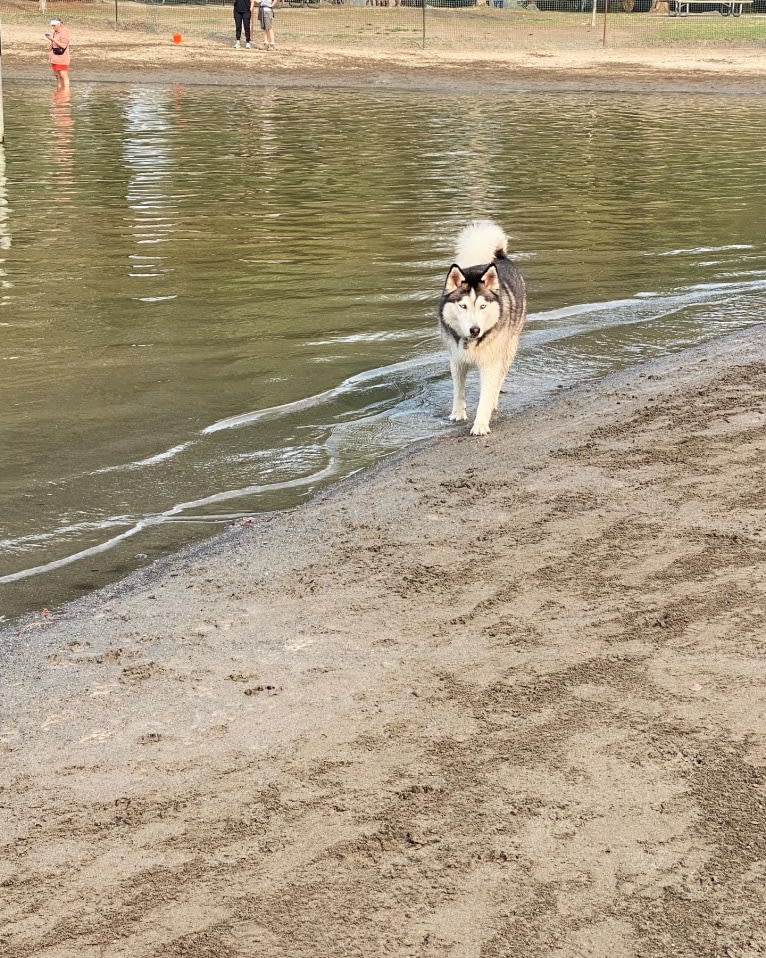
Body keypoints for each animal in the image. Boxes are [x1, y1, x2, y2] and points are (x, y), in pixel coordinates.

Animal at [438, 221, 528, 436]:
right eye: (463, 306)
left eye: (483, 306)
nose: (475, 330)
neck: (471, 343)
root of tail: (500, 257)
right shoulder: (456, 360)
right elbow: (458, 390)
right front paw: (458, 413)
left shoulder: (490, 363)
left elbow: (486, 394)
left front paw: (480, 423)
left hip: (508, 349)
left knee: (499, 380)